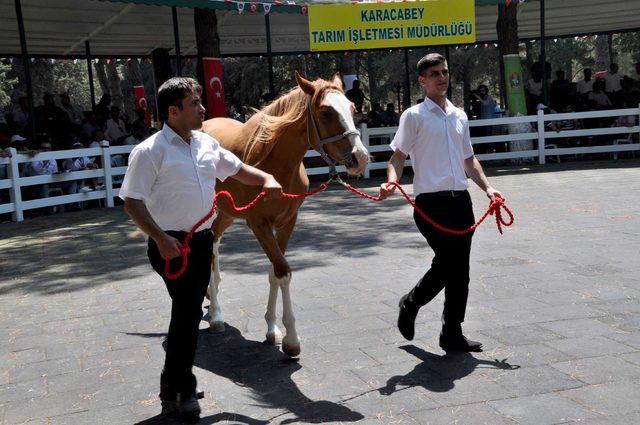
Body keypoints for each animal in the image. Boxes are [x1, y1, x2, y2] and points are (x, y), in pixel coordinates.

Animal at [200, 72, 370, 354]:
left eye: (353, 109)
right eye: (325, 112)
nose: (361, 158)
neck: (274, 165)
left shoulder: (287, 222)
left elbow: (274, 272)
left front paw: (273, 330)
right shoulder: (258, 224)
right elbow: (283, 271)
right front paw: (291, 338)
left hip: (226, 213)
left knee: (214, 243)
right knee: (210, 251)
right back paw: (216, 315)